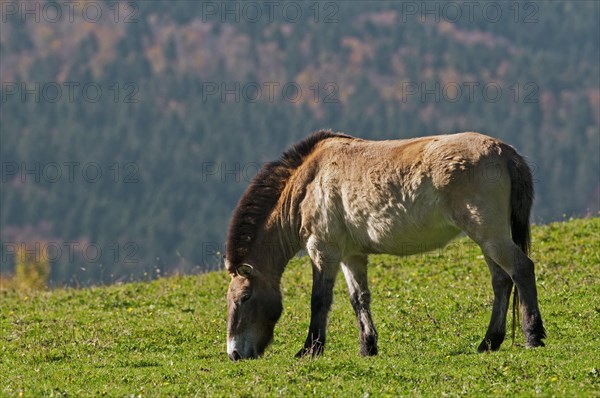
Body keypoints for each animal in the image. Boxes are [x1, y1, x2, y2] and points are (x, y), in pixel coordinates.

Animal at [224, 131, 544, 360]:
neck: (309, 181)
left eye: (245, 297)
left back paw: (533, 336)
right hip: (487, 239)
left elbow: (319, 300)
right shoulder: (351, 255)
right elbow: (359, 298)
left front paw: (310, 349)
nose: (235, 353)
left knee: (521, 269)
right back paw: (489, 342)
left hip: (490, 234)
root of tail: (506, 152)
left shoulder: (323, 250)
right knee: (501, 281)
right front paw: (367, 347)